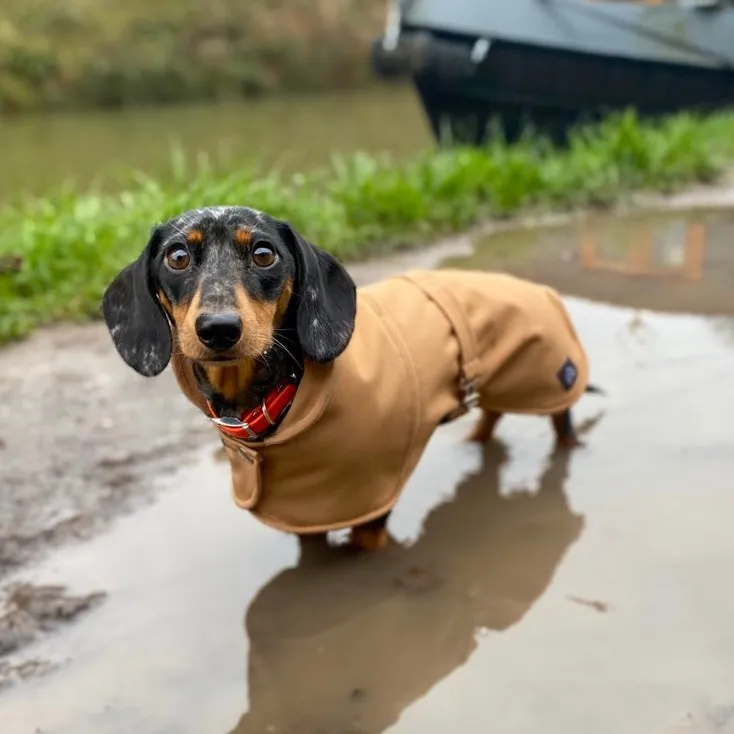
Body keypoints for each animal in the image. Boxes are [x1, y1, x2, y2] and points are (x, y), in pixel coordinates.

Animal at [102, 206, 600, 552]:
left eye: (264, 254)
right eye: (177, 256)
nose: (219, 329)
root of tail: (540, 289)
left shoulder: (370, 507)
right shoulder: (306, 513)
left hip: (550, 383)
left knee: (561, 433)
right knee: (491, 417)